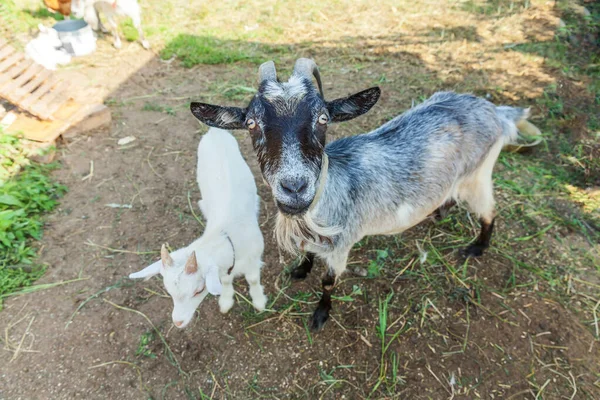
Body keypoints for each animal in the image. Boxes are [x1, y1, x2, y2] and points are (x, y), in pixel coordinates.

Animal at [190, 57, 532, 330]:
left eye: (323, 118)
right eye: (251, 122)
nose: (295, 187)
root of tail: (497, 111)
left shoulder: (342, 245)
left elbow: (328, 281)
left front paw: (320, 315)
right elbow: (308, 254)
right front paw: (300, 269)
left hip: (478, 176)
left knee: (490, 211)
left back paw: (476, 247)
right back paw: (439, 211)